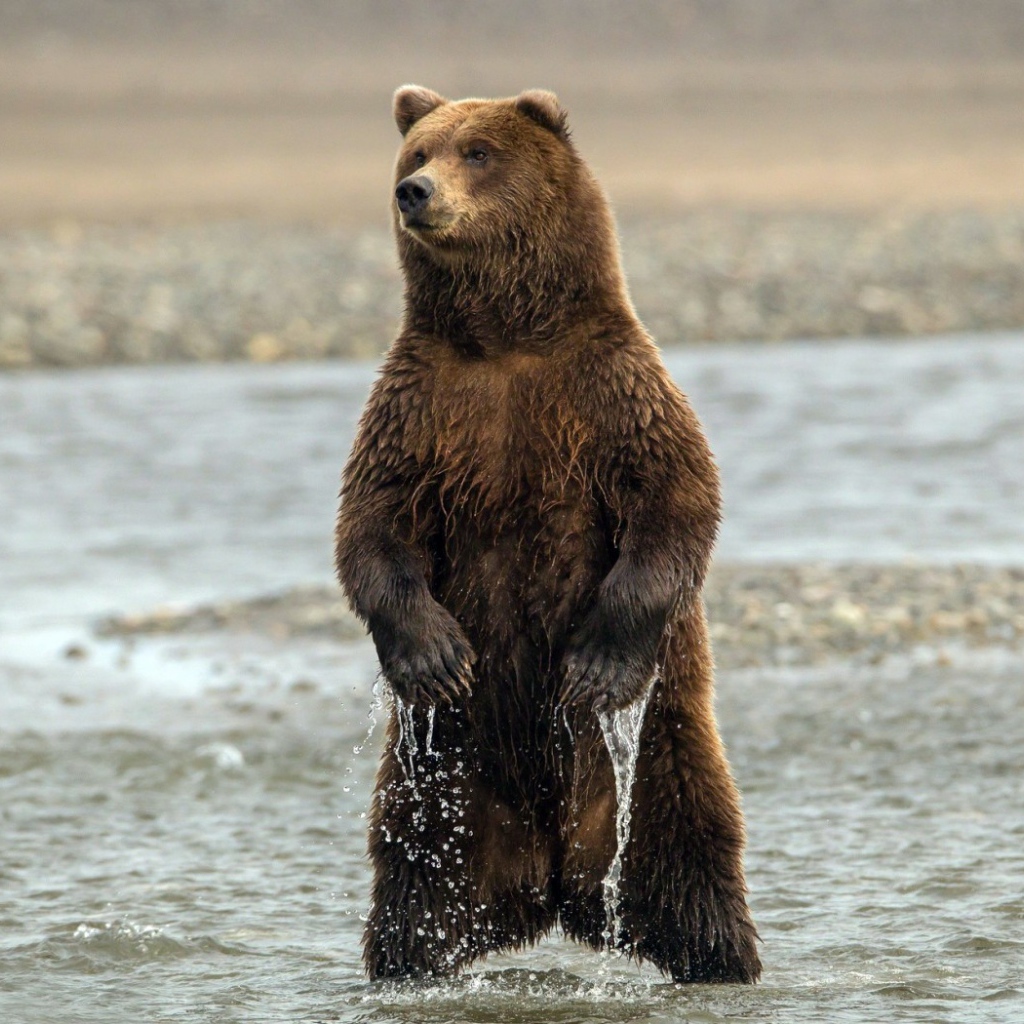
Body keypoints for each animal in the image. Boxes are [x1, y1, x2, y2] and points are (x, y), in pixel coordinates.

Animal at [334, 85, 761, 984]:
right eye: (417, 151)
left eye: (478, 151)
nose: (414, 192)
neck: (505, 339)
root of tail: (553, 882)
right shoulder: (420, 409)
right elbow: (374, 528)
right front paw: (434, 657)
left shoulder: (612, 393)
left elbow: (677, 503)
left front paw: (596, 666)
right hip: (443, 779)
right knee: (414, 881)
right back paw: (409, 964)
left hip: (661, 750)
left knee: (691, 860)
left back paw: (722, 961)